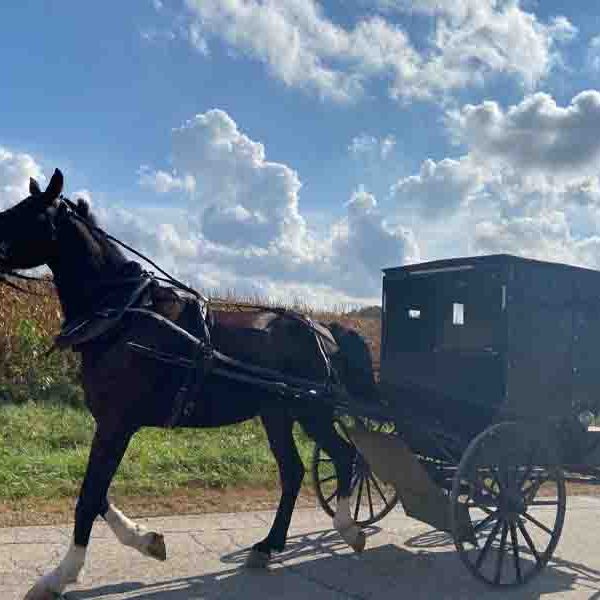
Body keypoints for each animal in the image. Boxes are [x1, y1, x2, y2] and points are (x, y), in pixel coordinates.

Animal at [0, 170, 376, 600]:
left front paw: (60, 575)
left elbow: (89, 496)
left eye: (25, 213)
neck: (123, 315)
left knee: (345, 457)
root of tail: (324, 329)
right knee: (294, 472)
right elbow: (98, 494)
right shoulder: (111, 425)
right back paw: (268, 545)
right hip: (277, 413)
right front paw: (146, 539)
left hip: (311, 410)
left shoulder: (116, 424)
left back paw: (348, 529)